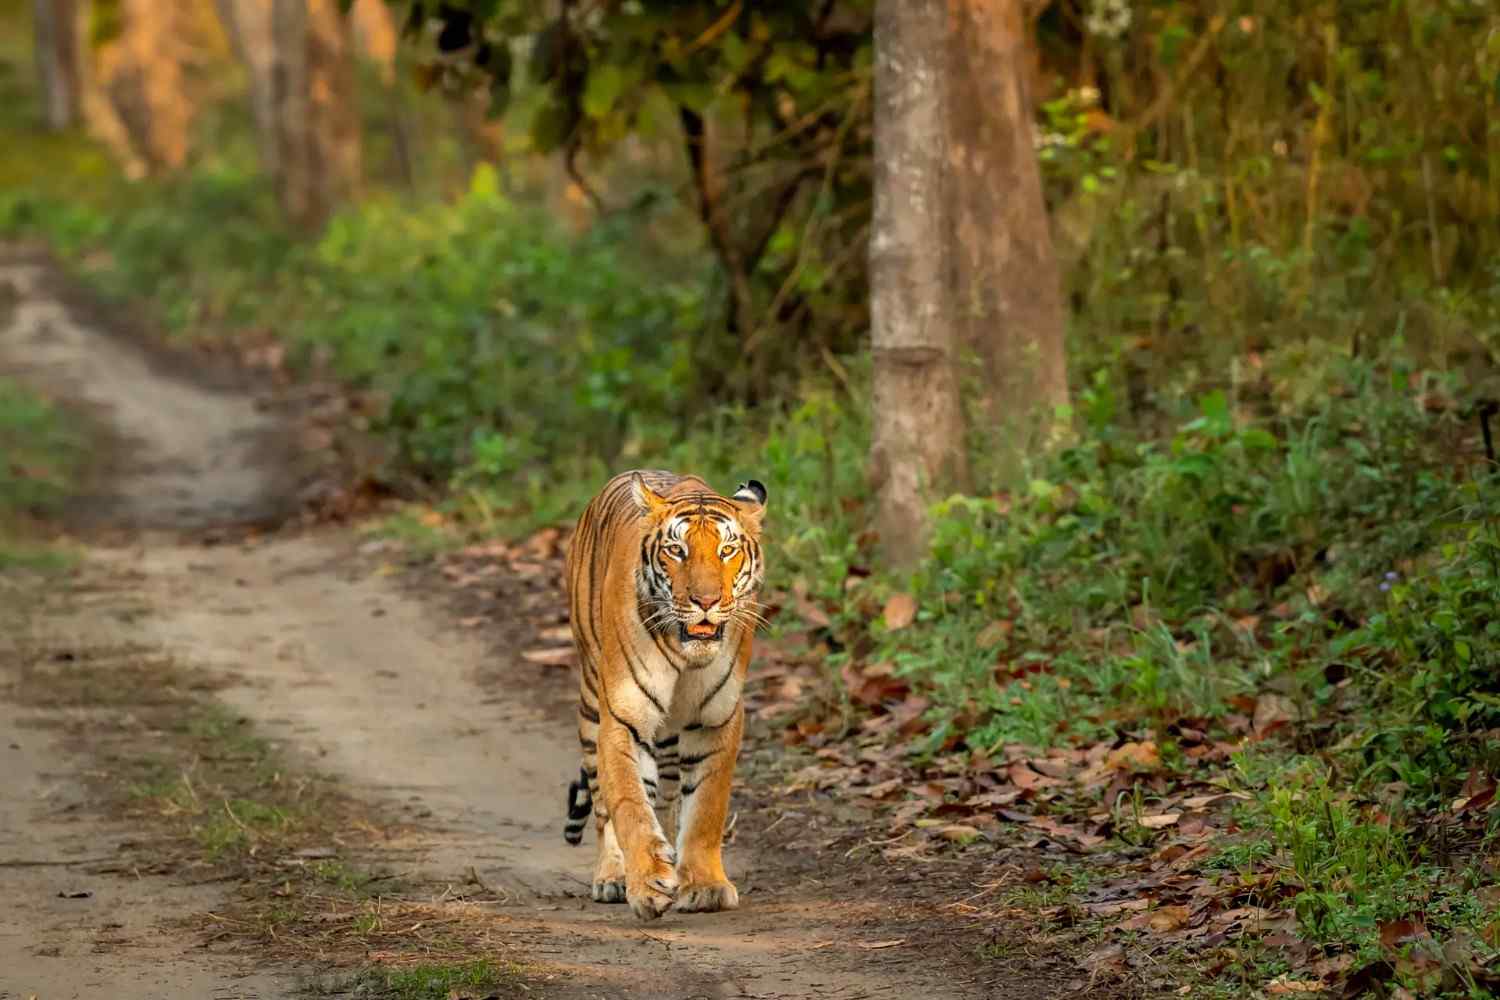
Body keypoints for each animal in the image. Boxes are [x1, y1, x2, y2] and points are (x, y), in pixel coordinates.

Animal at [560, 470, 767, 921]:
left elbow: (705, 808)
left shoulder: (716, 720)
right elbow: (630, 804)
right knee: (603, 801)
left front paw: (704, 885)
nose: (705, 601)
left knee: (670, 797)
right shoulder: (623, 717)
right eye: (677, 550)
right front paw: (649, 883)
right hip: (591, 701)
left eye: (727, 551)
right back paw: (613, 877)